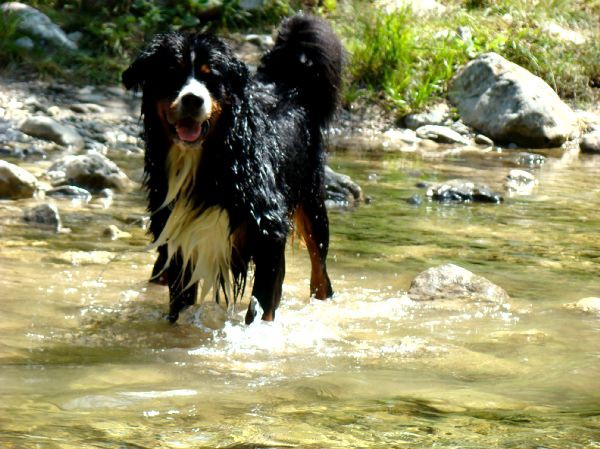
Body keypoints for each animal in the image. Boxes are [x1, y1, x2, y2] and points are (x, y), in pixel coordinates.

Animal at [122, 14, 342, 322]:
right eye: (172, 73)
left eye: (211, 77)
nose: (193, 99)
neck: (207, 163)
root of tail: (287, 86)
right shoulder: (178, 238)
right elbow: (179, 307)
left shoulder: (270, 232)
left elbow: (260, 308)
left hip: (312, 206)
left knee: (320, 276)